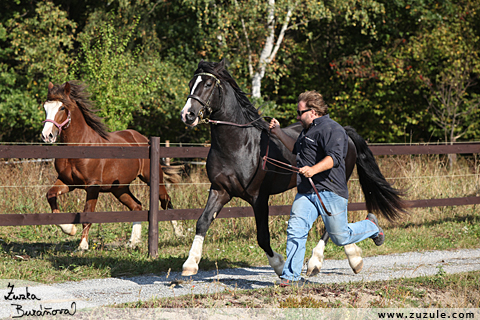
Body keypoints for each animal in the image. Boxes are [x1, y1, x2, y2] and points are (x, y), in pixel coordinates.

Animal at [41, 80, 183, 250]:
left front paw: (83, 245)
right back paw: (133, 242)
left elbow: (88, 213)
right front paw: (70, 229)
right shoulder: (67, 182)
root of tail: (143, 138)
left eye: (62, 108)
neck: (81, 146)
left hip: (151, 179)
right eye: (45, 107)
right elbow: (50, 196)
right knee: (137, 206)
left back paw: (179, 234)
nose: (46, 135)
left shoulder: (93, 186)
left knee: (165, 201)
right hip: (119, 188)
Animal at [180, 60, 404, 278]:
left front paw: (279, 266)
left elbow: (262, 237)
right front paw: (190, 264)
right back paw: (354, 256)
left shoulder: (259, 197)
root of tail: (345, 132)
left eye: (208, 84)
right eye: (191, 83)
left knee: (332, 225)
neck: (239, 145)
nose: (187, 115)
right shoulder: (220, 190)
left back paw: (319, 262)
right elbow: (203, 222)